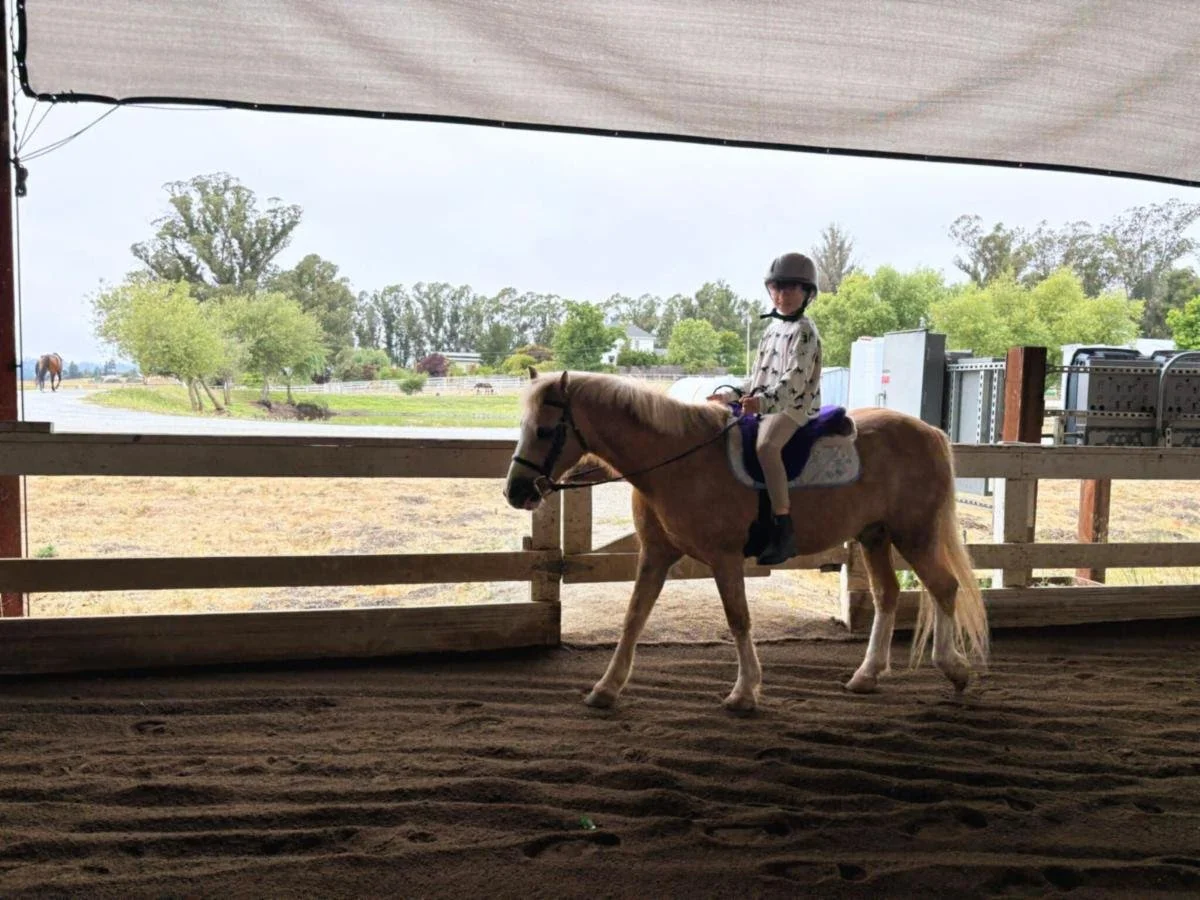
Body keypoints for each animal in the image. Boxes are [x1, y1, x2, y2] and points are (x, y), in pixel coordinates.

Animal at [504, 369, 989, 713]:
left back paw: (954, 669)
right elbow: (633, 617)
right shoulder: (656, 555)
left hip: (915, 534)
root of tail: (930, 432)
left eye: (545, 430)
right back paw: (866, 676)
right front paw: (606, 688)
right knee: (887, 595)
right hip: (874, 536)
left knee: (944, 587)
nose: (516, 492)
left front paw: (744, 693)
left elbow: (738, 619)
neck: (677, 461)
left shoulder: (724, 559)